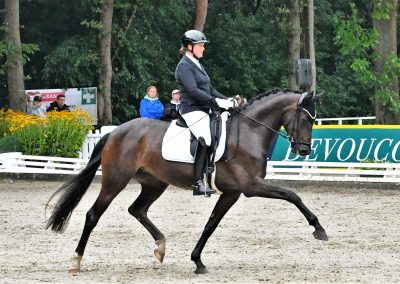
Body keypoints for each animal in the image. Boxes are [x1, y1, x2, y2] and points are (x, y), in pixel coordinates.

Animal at [47, 90, 328, 274]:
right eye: (306, 119)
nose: (304, 150)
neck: (249, 132)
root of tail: (115, 132)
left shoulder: (232, 192)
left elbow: (211, 224)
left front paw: (197, 261)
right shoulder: (251, 186)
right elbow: (292, 195)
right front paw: (318, 228)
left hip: (155, 184)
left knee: (137, 209)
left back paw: (160, 247)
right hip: (115, 181)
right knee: (93, 215)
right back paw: (76, 260)